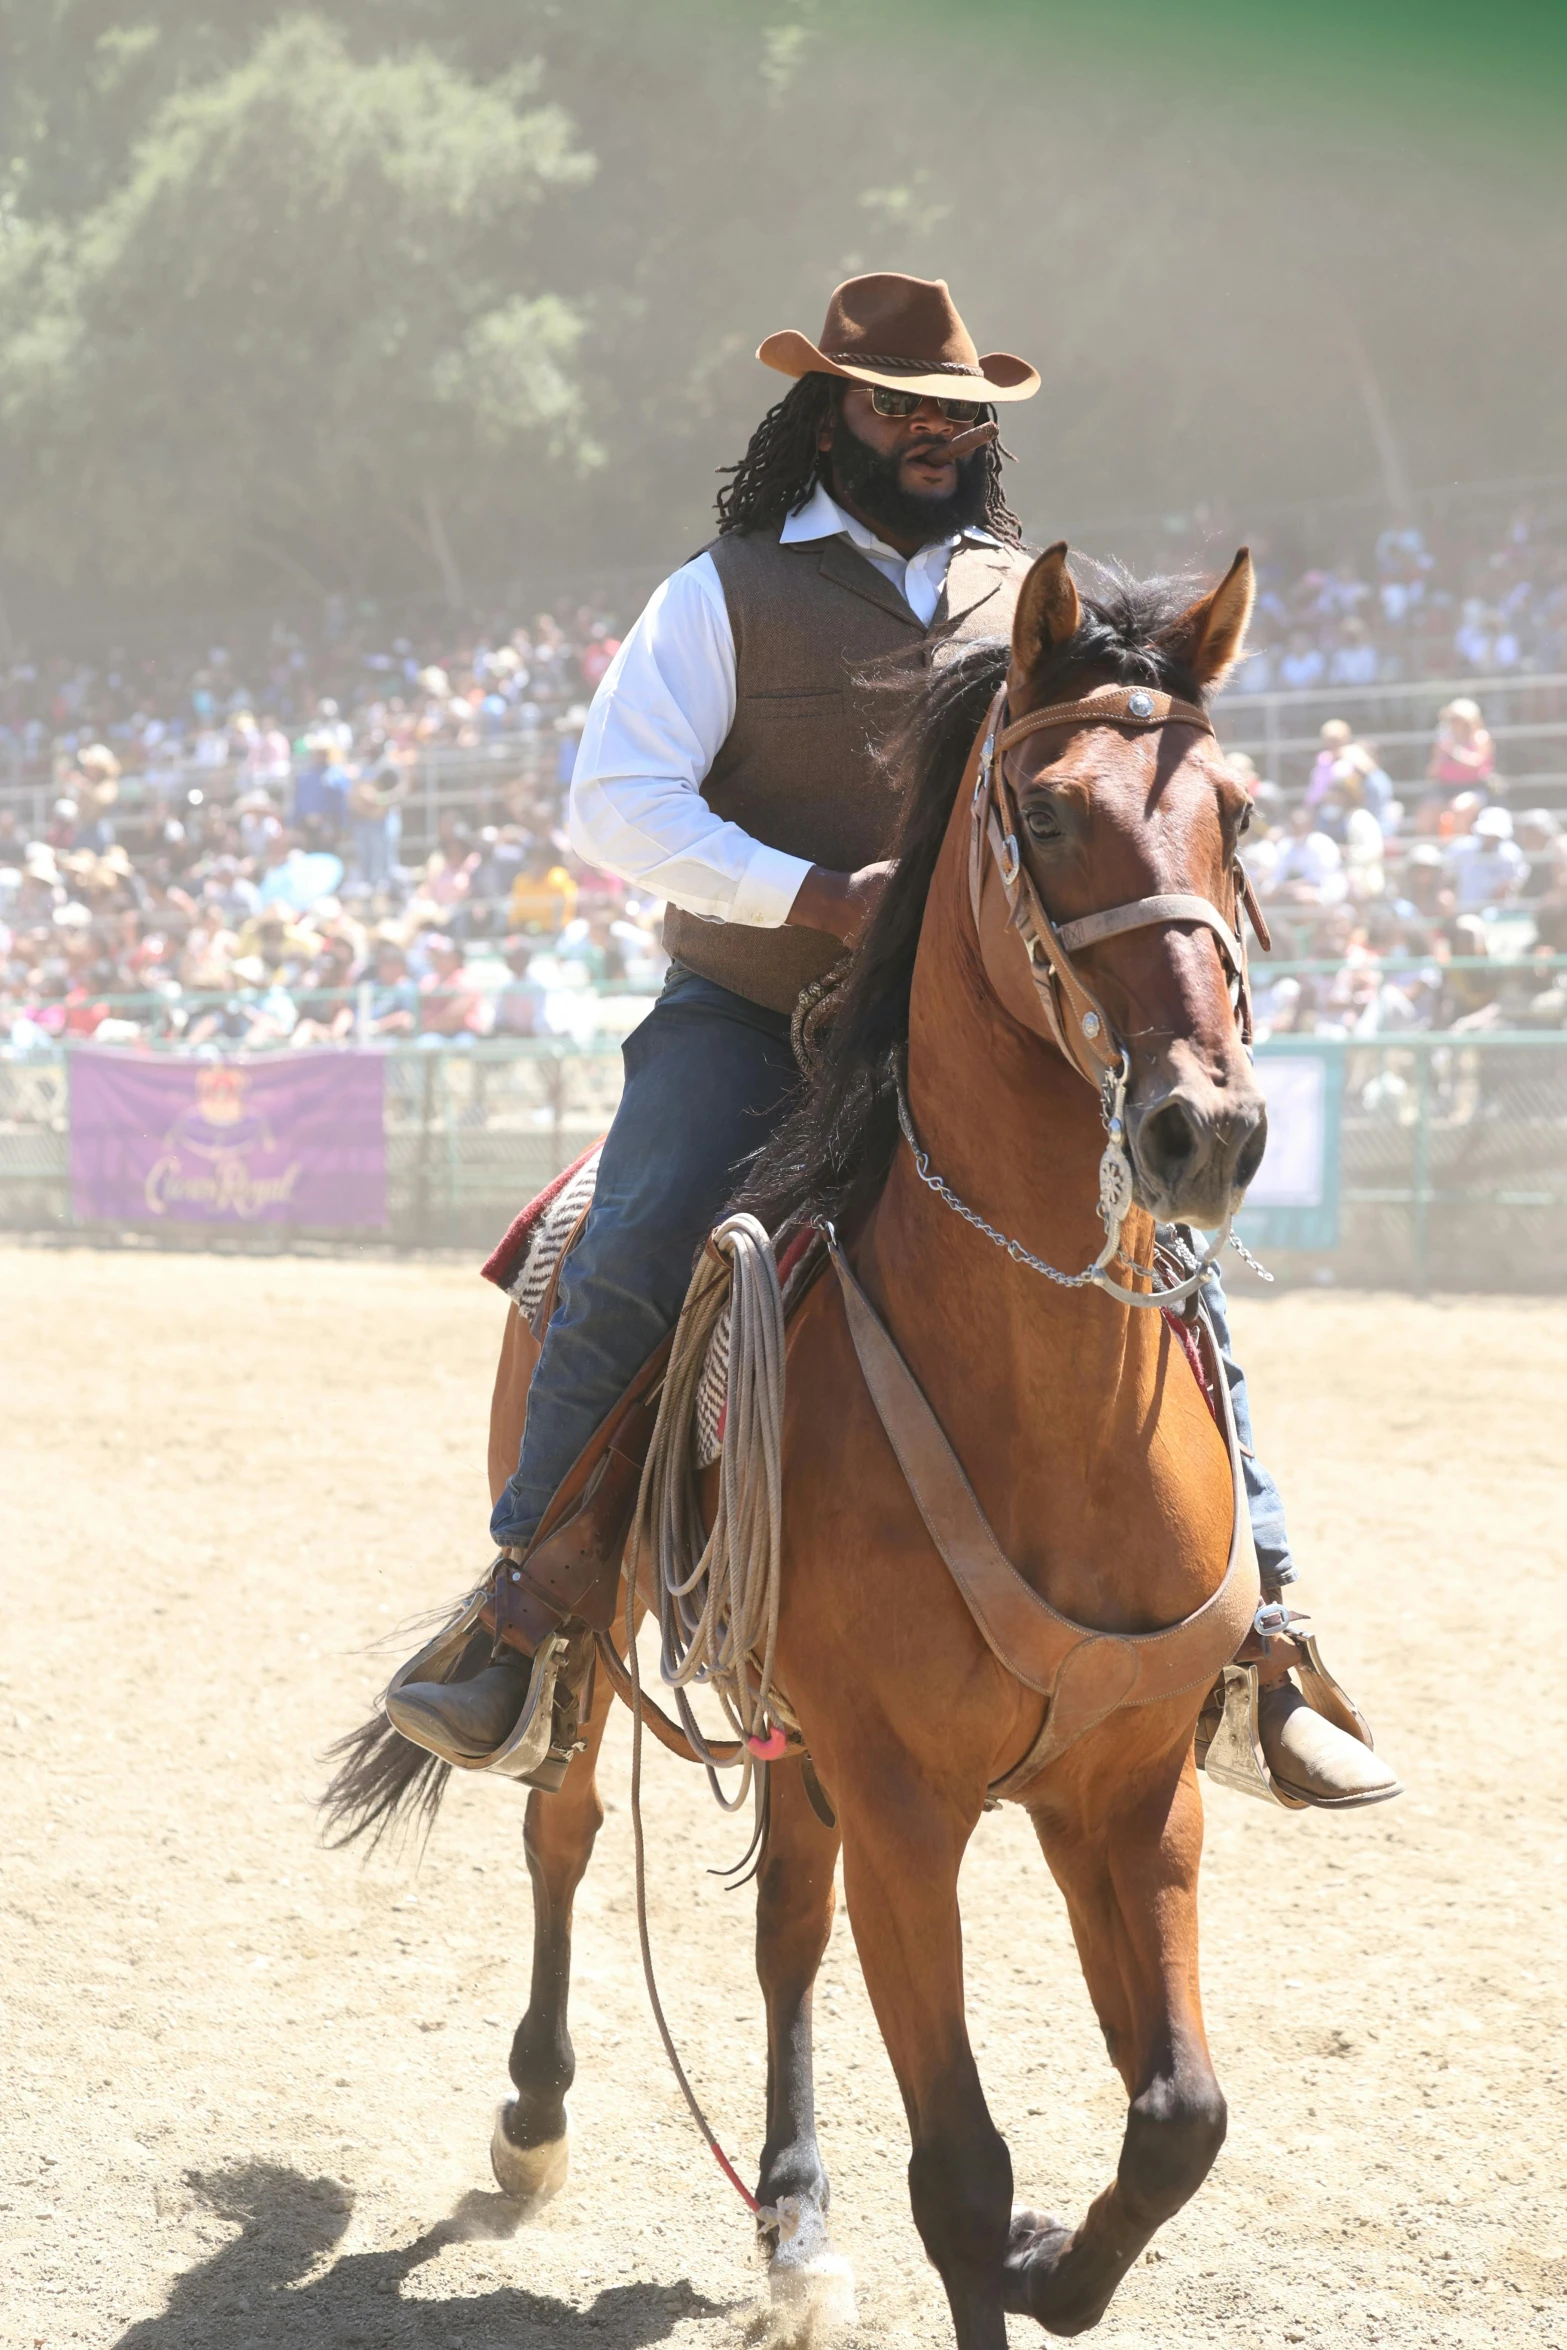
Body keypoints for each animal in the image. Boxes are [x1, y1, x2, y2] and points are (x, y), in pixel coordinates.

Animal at [324, 540, 1268, 2340]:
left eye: (1236, 813)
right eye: (1047, 816)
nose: (1209, 1125)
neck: (1045, 1412)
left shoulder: (1126, 1786)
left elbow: (1180, 2118)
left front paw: (1049, 2256)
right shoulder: (909, 1799)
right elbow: (959, 2172)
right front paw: (1004, 2243)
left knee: (781, 1931)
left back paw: (790, 2209)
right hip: (597, 1625)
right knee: (562, 1828)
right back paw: (534, 2119)